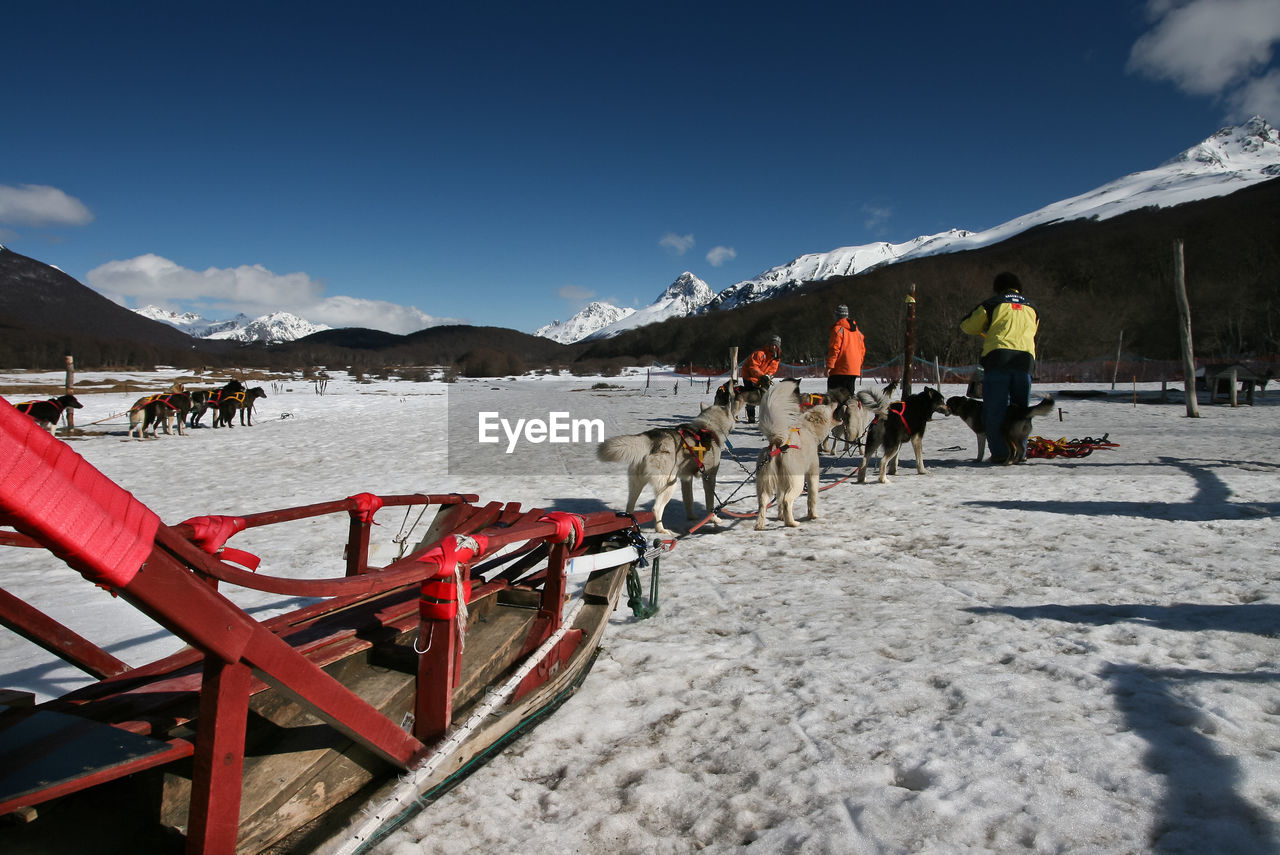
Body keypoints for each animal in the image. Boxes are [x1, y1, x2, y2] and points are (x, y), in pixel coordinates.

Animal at [596, 401, 737, 535]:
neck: (709, 427)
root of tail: (652, 439)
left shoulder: (686, 479)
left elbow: (689, 500)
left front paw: (692, 517)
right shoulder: (709, 477)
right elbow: (710, 503)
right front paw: (714, 519)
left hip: (637, 485)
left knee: (630, 506)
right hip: (669, 485)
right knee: (656, 508)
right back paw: (661, 530)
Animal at [747, 378, 839, 527]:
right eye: (827, 406)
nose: (835, 401)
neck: (809, 430)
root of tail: (778, 444)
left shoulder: (780, 483)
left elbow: (779, 501)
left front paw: (780, 517)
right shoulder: (812, 473)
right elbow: (812, 497)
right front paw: (813, 516)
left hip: (764, 484)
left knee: (763, 504)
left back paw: (760, 526)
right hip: (797, 482)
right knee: (787, 500)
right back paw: (792, 523)